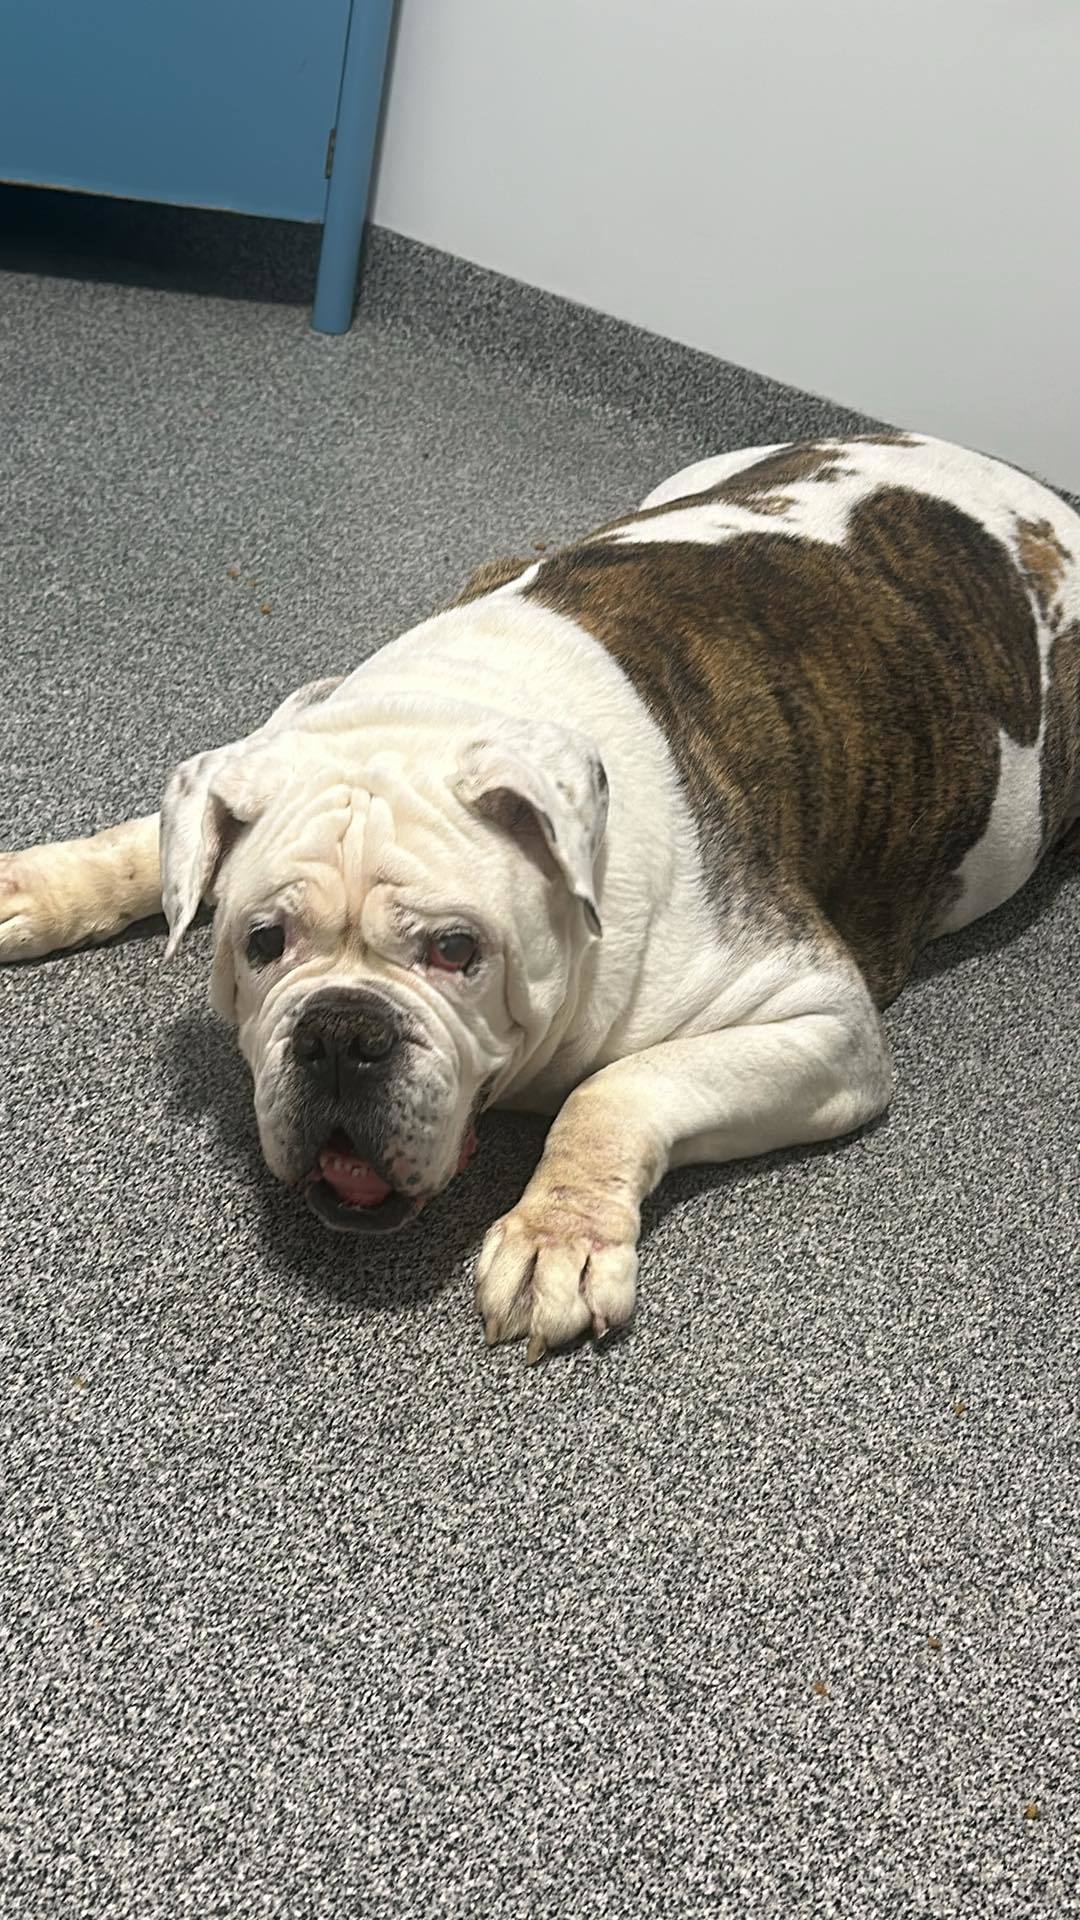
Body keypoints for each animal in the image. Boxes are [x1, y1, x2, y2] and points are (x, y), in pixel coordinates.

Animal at [2, 439, 1076, 1367]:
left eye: (456, 951)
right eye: (263, 942)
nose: (341, 1032)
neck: (457, 706)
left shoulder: (823, 1024)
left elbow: (619, 1088)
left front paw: (557, 1234)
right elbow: (149, 842)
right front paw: (42, 886)